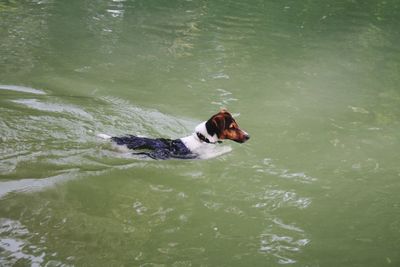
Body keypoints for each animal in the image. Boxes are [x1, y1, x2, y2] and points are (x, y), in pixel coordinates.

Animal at [97, 108, 247, 159]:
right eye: (232, 127)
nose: (248, 136)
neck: (203, 139)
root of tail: (116, 138)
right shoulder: (203, 156)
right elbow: (222, 151)